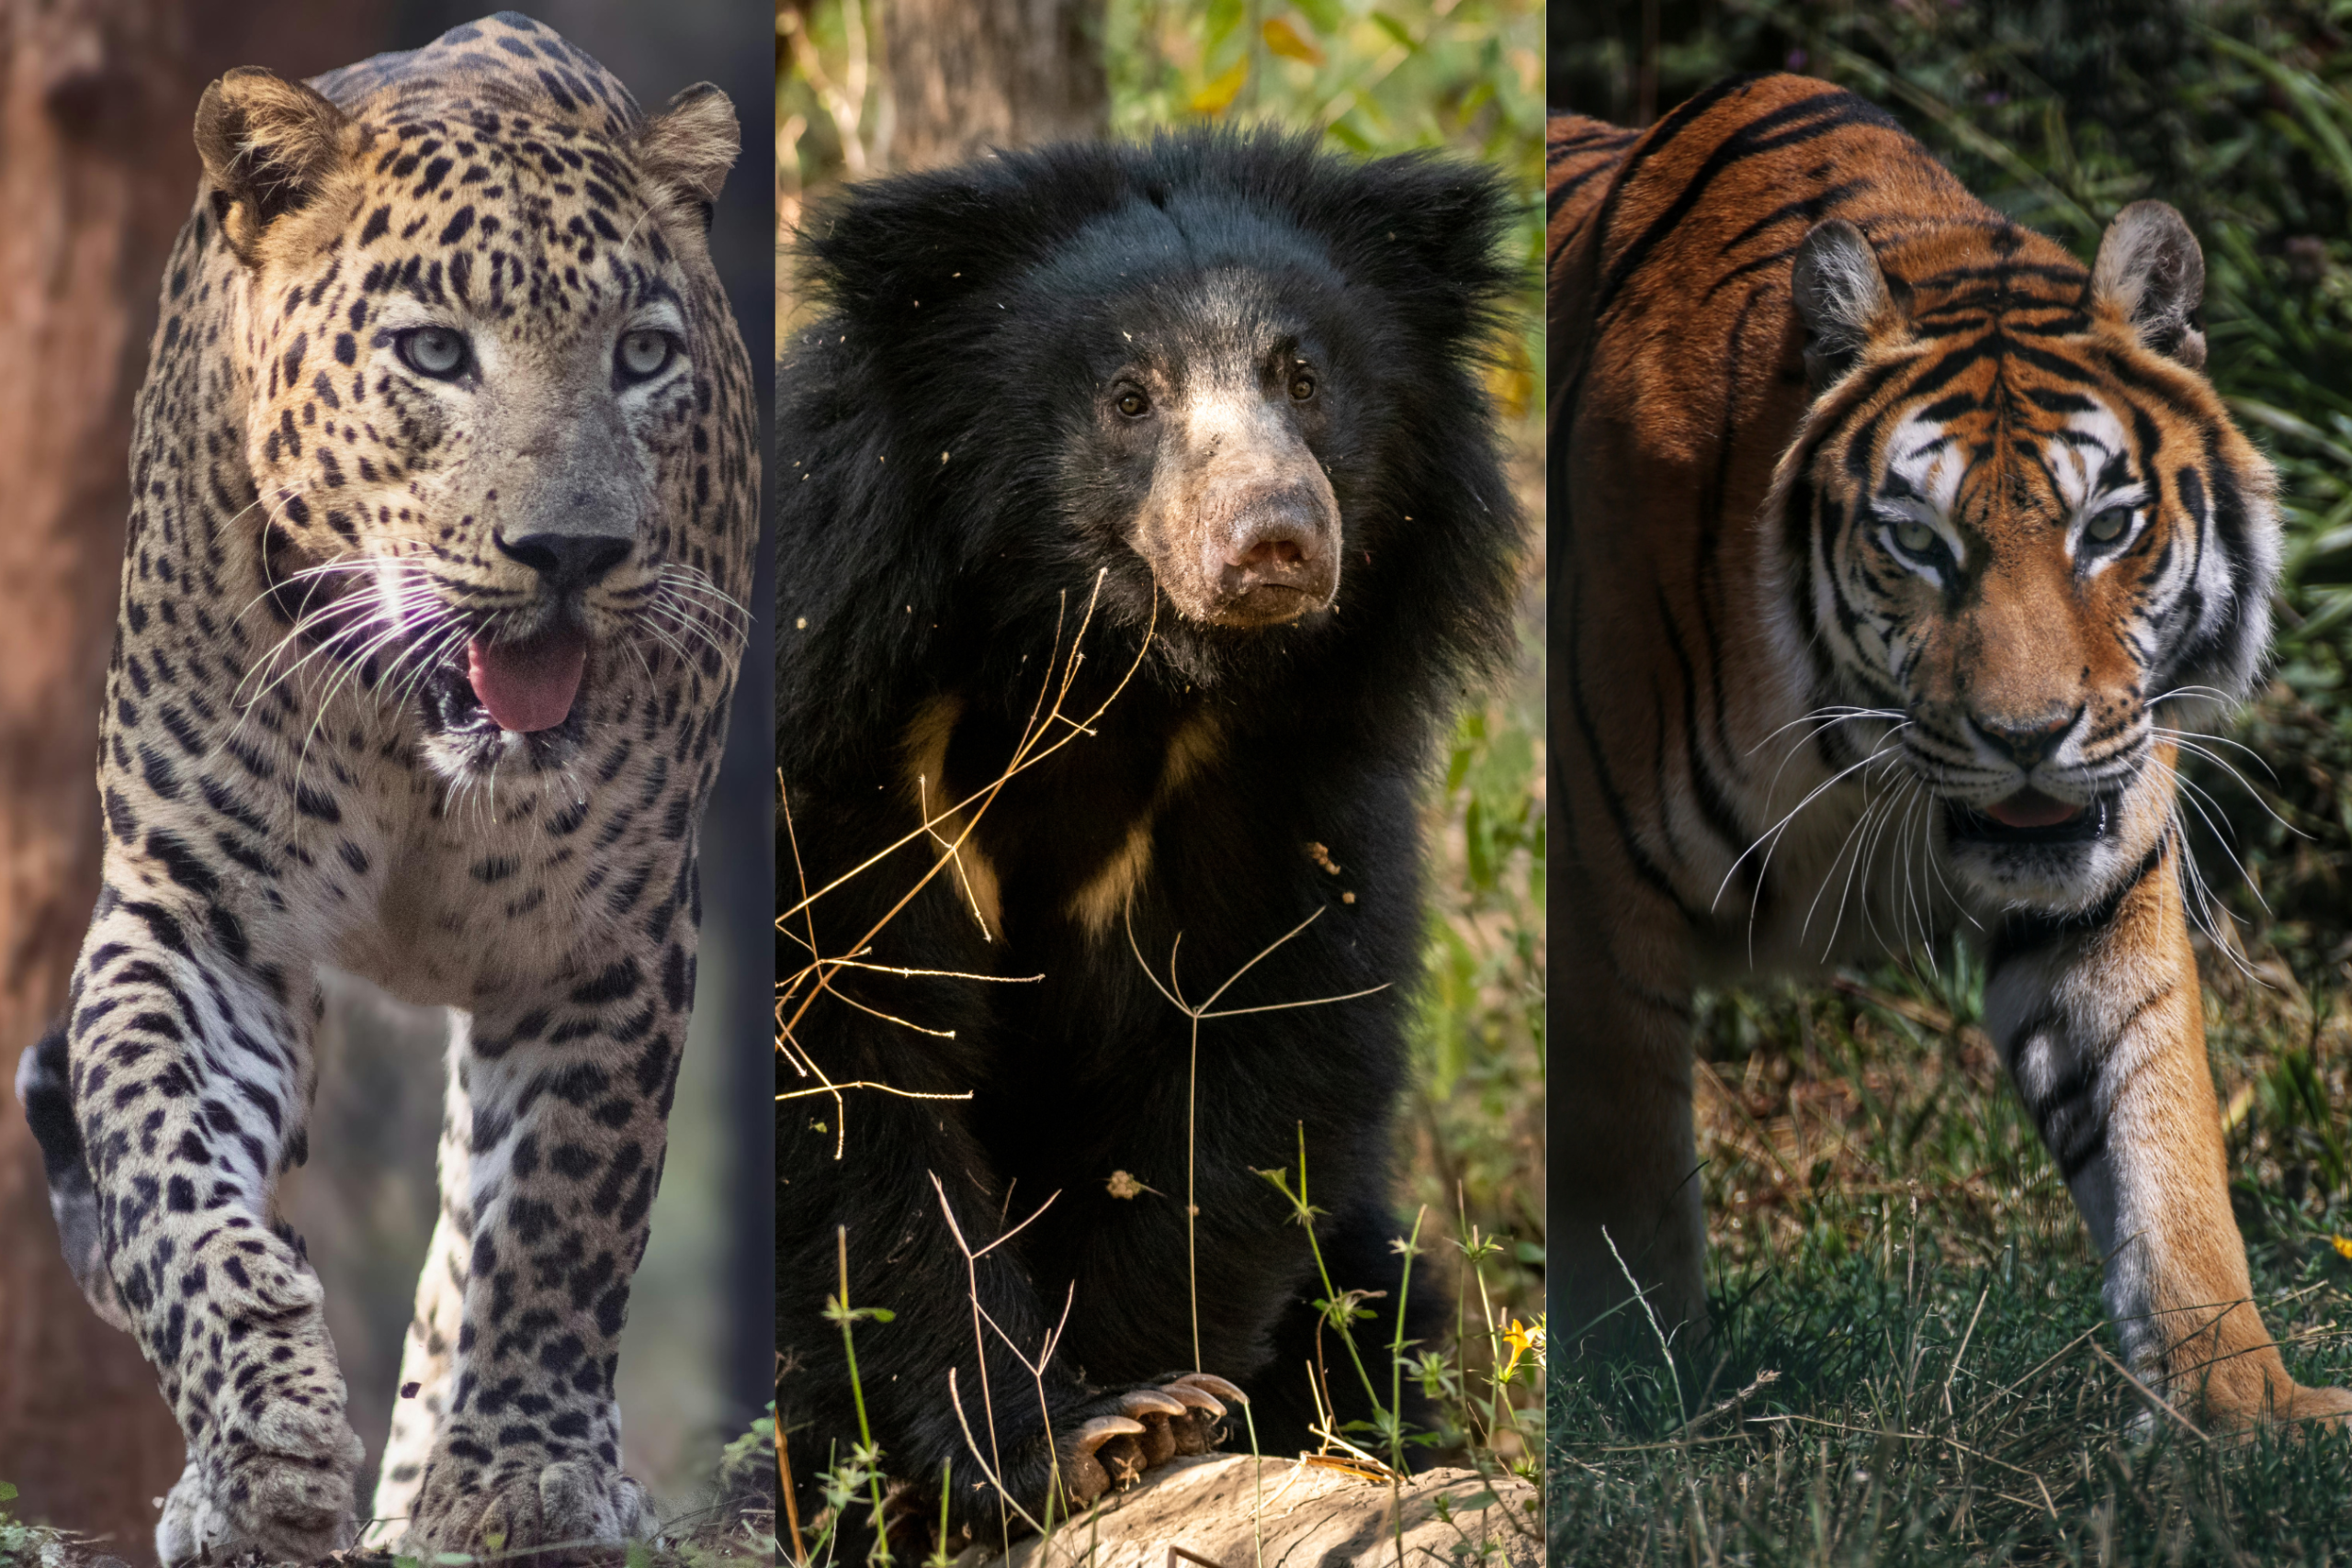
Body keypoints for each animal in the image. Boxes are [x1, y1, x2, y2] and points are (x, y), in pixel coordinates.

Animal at [10, 14, 756, 1563]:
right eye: (433, 352)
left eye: (644, 356)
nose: (573, 552)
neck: (415, 748)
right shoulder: (199, 910)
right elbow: (163, 1160)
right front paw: (261, 1440)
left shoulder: (605, 933)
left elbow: (562, 1211)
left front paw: (526, 1476)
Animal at [775, 127, 1523, 1551]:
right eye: (1129, 397)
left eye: (1305, 378)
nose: (1274, 536)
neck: (1102, 675)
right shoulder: (848, 751)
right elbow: (849, 1082)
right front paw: (1066, 1440)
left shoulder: (1282, 787)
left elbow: (1248, 1074)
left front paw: (1154, 1410)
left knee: (1375, 1301)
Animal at [1548, 73, 2352, 1430]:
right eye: (1917, 543)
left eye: (2108, 527)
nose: (2028, 738)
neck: (1856, 759)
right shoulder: (1598, 897)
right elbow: (1628, 1188)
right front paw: (1644, 1404)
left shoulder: (2104, 876)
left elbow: (2159, 1134)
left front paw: (2238, 1398)